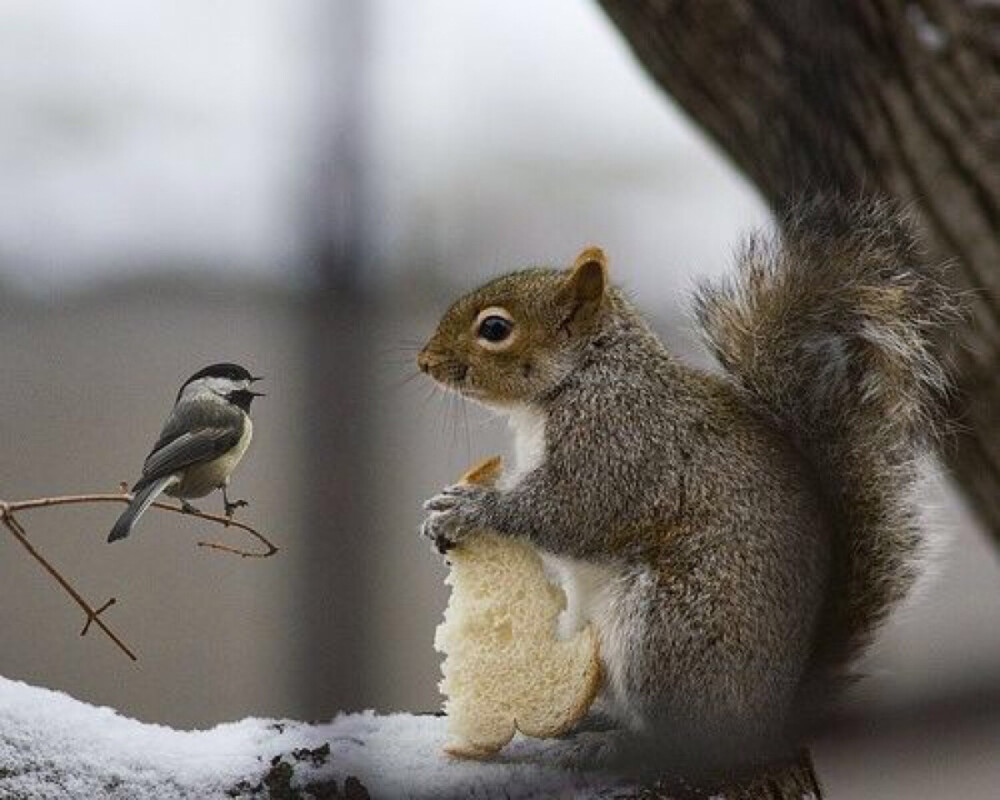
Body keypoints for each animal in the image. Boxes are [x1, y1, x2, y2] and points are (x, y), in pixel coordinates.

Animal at [414, 197, 952, 780]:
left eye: (494, 328)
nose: (424, 362)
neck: (585, 373)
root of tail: (770, 723)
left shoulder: (618, 443)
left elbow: (568, 511)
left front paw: (468, 509)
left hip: (668, 632)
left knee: (681, 737)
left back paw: (615, 747)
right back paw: (592, 720)